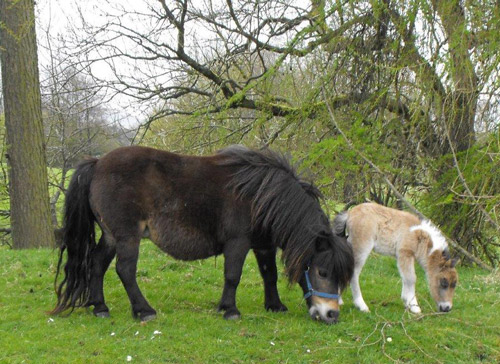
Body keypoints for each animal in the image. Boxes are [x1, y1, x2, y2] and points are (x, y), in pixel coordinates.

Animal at [50, 145, 354, 324]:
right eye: (323, 272)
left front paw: (275, 305)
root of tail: (98, 162)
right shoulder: (237, 243)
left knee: (97, 264)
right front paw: (229, 310)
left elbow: (270, 275)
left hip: (111, 236)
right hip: (127, 237)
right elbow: (233, 276)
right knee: (125, 271)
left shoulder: (263, 245)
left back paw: (99, 307)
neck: (262, 195)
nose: (331, 315)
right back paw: (143, 311)